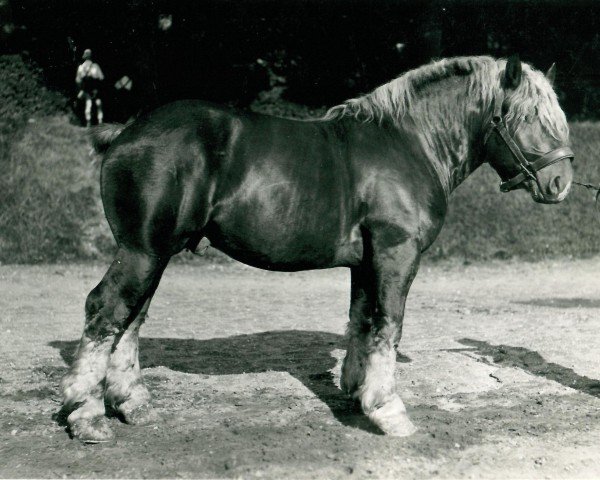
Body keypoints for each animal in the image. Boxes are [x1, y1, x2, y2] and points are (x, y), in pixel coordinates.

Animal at [63, 54, 576, 440]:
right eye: (528, 116)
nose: (560, 182)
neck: (409, 143)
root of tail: (125, 132)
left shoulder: (366, 262)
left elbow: (360, 320)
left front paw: (357, 391)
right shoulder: (395, 253)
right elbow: (388, 326)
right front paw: (388, 410)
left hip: (156, 253)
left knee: (132, 318)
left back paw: (131, 403)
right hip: (143, 251)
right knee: (106, 311)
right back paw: (86, 414)